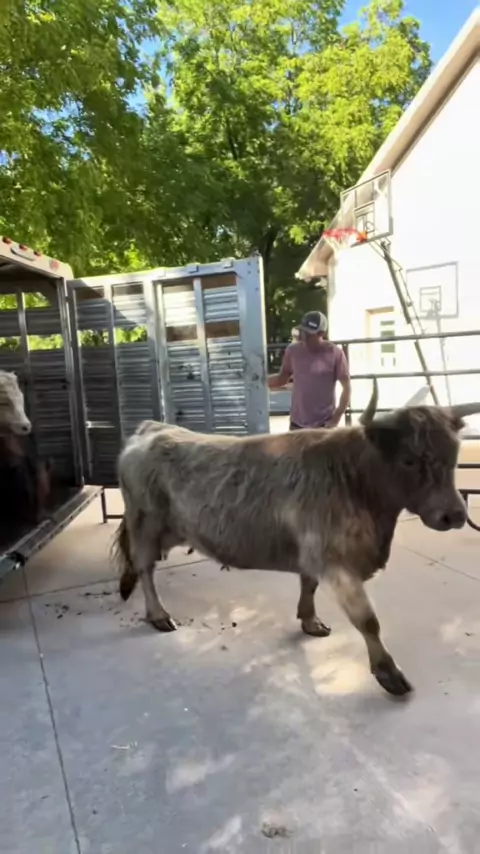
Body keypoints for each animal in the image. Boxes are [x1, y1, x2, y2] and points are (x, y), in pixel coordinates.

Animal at [111, 380, 480, 696]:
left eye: (454, 455)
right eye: (408, 459)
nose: (454, 515)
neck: (355, 479)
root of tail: (153, 429)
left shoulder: (313, 555)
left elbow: (309, 584)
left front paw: (309, 620)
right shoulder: (336, 563)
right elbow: (368, 620)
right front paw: (388, 673)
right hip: (145, 524)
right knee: (145, 568)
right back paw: (158, 615)